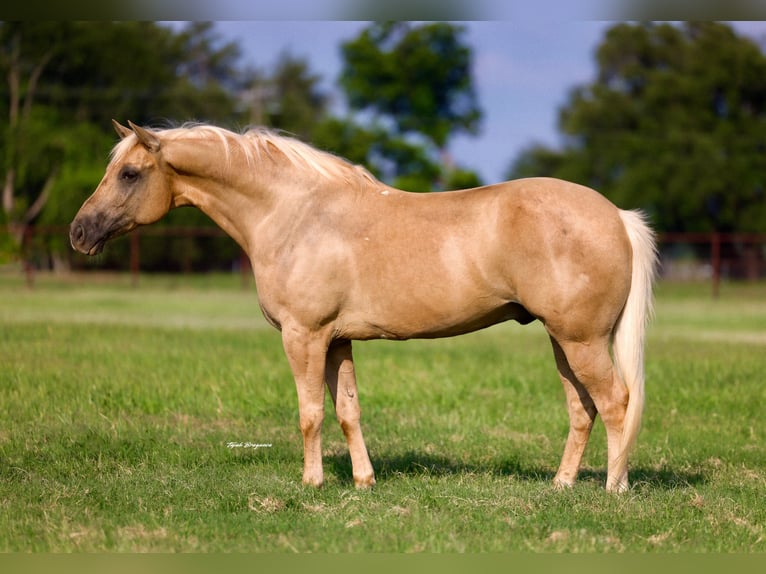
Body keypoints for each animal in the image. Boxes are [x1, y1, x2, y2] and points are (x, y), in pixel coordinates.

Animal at [70, 121, 657, 492]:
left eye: (129, 174)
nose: (79, 232)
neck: (296, 213)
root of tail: (616, 215)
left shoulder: (303, 336)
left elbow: (309, 413)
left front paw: (312, 483)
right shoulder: (337, 340)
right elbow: (347, 411)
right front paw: (363, 481)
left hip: (581, 342)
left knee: (615, 404)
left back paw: (614, 489)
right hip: (564, 341)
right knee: (582, 410)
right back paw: (561, 485)